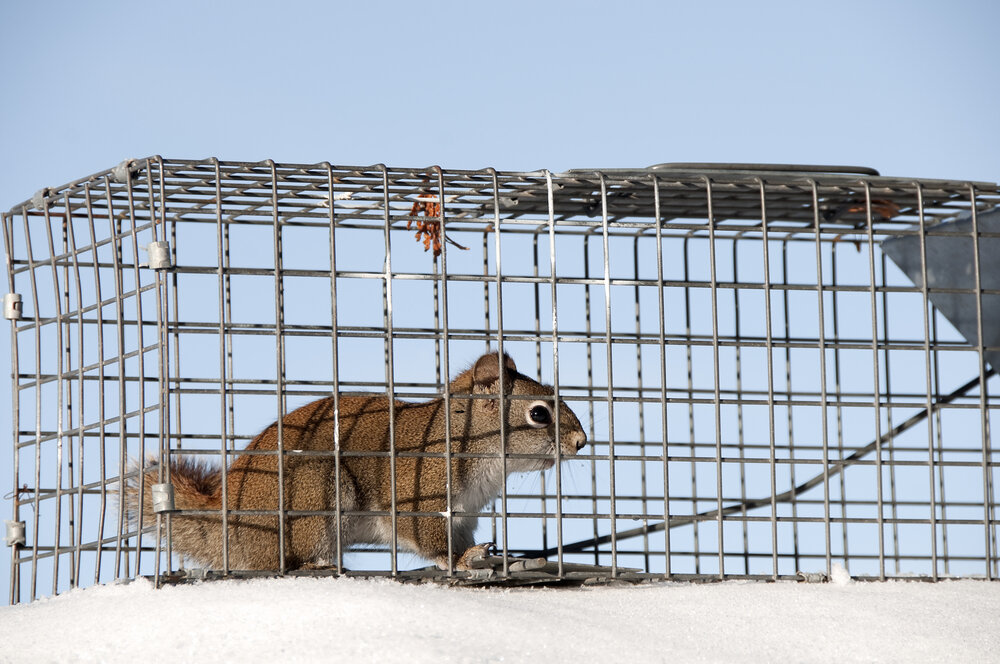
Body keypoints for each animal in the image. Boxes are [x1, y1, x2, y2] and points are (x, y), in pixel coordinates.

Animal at [129, 352, 587, 572]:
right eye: (539, 414)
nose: (582, 442)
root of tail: (228, 526)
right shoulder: (419, 495)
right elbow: (431, 542)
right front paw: (460, 560)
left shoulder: (463, 514)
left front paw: (487, 555)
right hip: (313, 495)